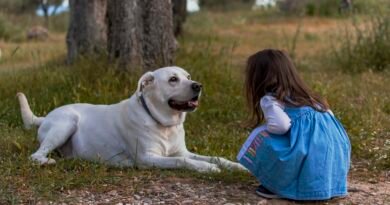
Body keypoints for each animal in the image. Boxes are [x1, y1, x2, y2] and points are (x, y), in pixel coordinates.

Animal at [18, 66, 245, 172]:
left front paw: (236, 166)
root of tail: (44, 117)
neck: (164, 123)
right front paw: (207, 168)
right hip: (66, 123)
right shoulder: (148, 158)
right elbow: (182, 161)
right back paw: (47, 161)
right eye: (173, 79)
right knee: (35, 155)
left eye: (188, 77)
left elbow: (214, 157)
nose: (198, 85)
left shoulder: (182, 151)